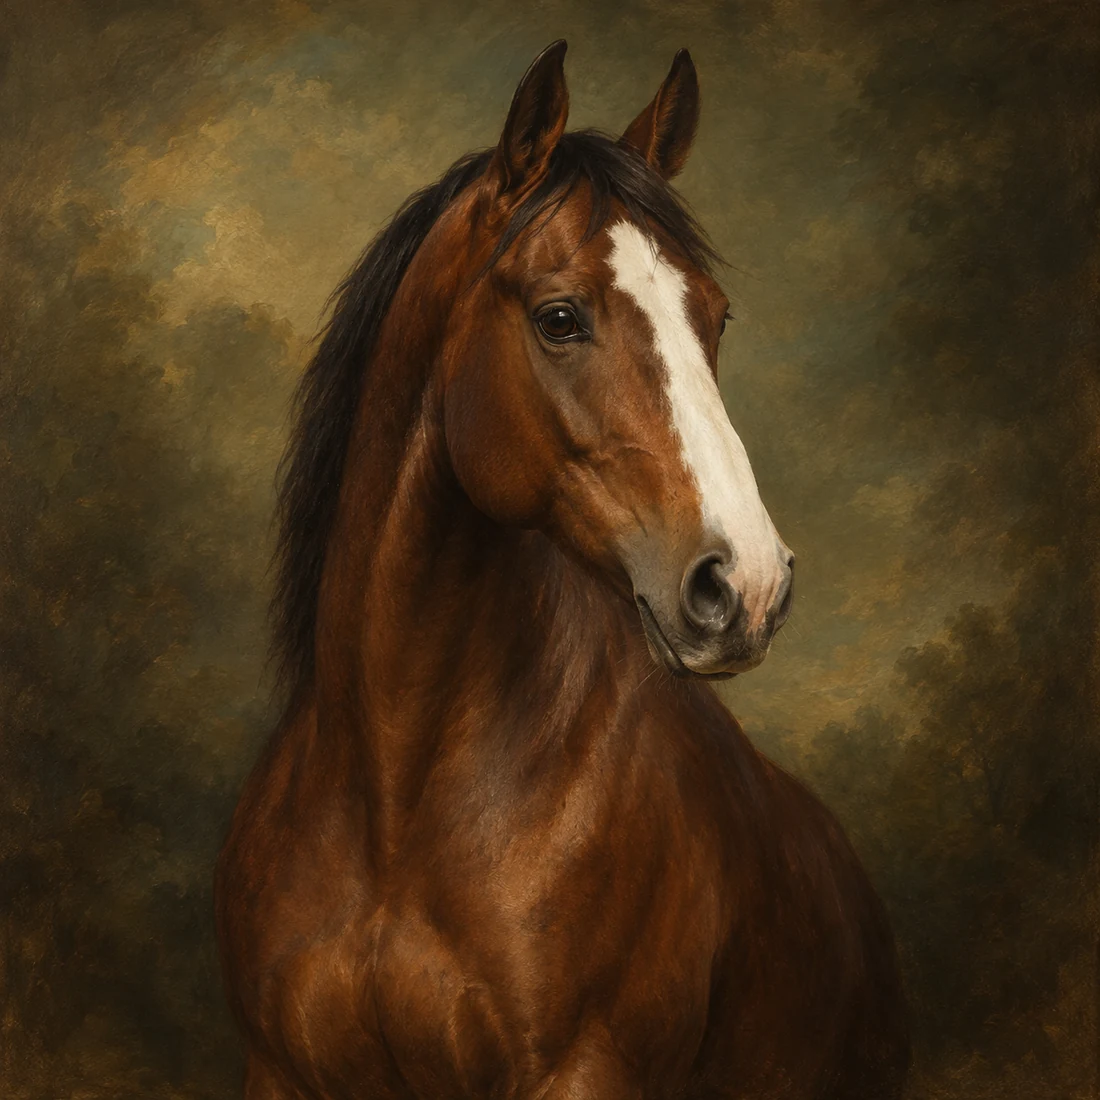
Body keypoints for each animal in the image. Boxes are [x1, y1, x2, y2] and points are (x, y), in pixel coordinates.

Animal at [215, 41, 909, 1100]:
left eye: (717, 316)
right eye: (559, 317)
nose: (747, 585)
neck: (395, 800)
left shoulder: (581, 1072)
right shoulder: (280, 1074)